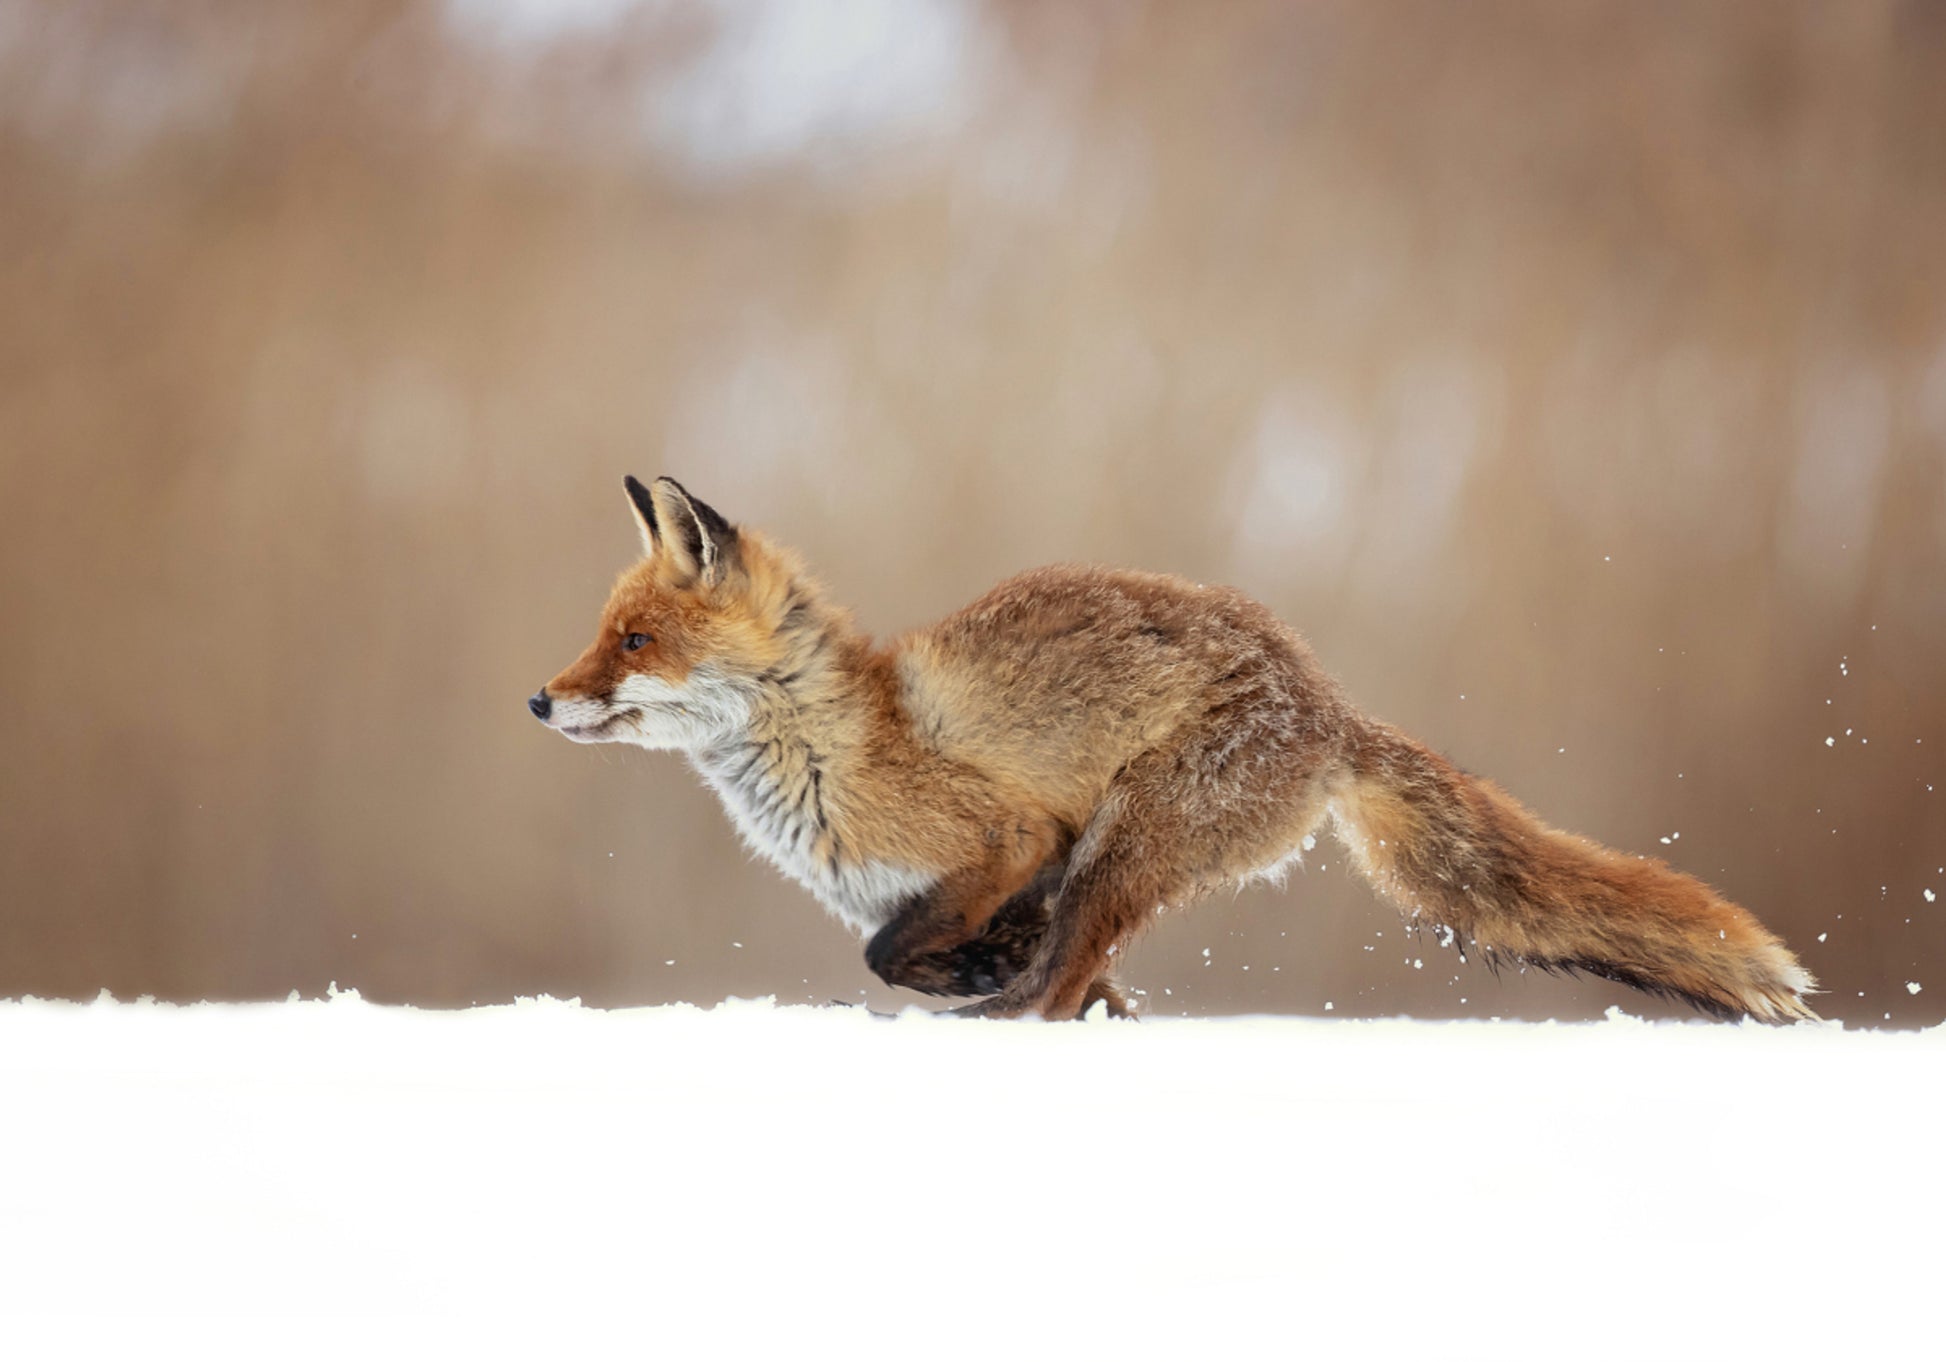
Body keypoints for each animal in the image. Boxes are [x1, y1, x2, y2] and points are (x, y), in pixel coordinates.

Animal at [530, 476, 1819, 1023]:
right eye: (601, 632)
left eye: (634, 640)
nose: (539, 702)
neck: (830, 744)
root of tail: (1325, 700)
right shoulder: (996, 880)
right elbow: (931, 950)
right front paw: (980, 971)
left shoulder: (1011, 836)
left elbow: (890, 952)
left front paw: (964, 982)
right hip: (1119, 861)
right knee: (1075, 977)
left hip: (1123, 844)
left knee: (1056, 991)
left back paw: (1002, 1018)